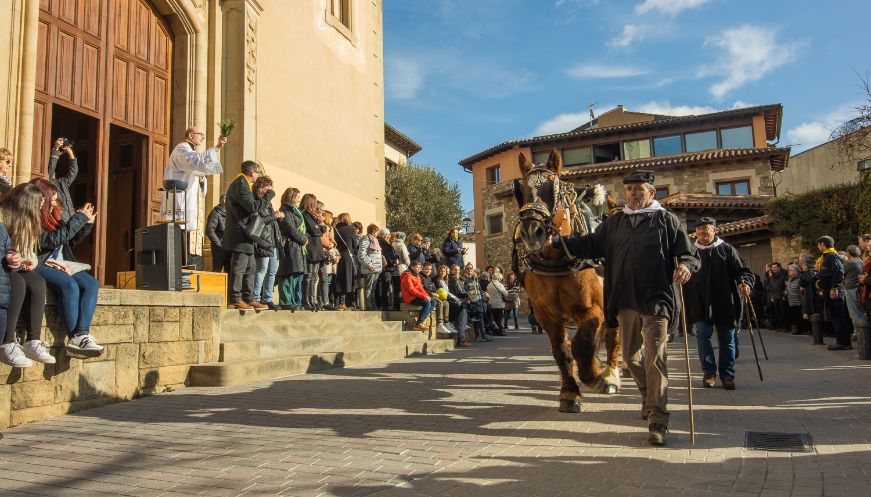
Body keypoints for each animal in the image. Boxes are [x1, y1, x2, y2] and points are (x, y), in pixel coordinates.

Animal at [516, 149, 624, 412]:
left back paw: (610, 375)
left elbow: (582, 345)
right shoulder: (546, 316)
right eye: (522, 190)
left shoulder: (594, 311)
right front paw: (569, 392)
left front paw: (594, 373)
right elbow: (562, 352)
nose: (531, 232)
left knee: (614, 339)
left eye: (552, 189)